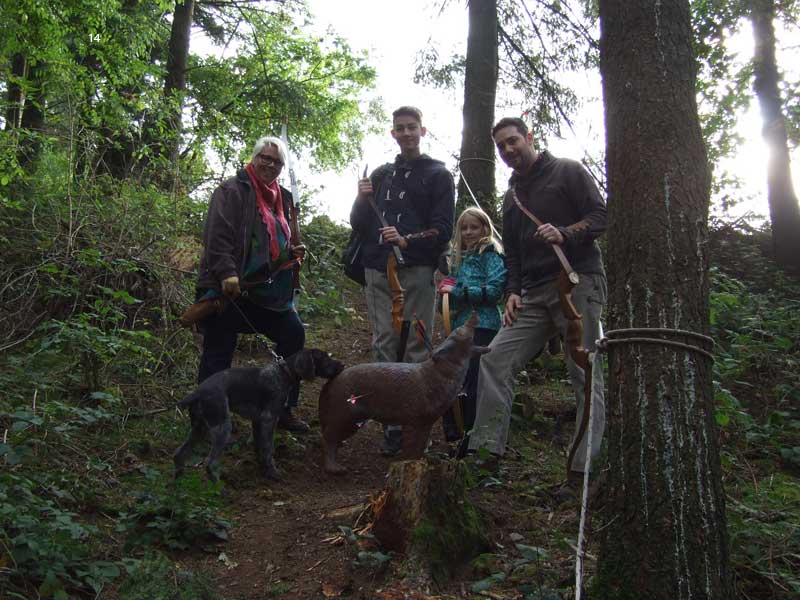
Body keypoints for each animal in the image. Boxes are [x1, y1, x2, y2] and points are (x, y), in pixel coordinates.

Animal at [174, 348, 344, 481]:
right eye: (325, 358)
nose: (342, 365)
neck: (283, 373)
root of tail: (198, 392)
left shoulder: (257, 421)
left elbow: (259, 447)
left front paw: (261, 467)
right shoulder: (269, 419)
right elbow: (268, 449)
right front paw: (272, 472)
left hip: (199, 428)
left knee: (179, 454)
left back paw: (178, 480)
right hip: (222, 427)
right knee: (209, 463)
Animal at [319, 313, 489, 475]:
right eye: (463, 329)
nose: (474, 312)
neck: (440, 376)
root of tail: (329, 384)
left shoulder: (426, 423)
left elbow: (419, 449)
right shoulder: (414, 422)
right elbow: (412, 450)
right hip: (345, 419)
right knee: (327, 439)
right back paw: (334, 468)